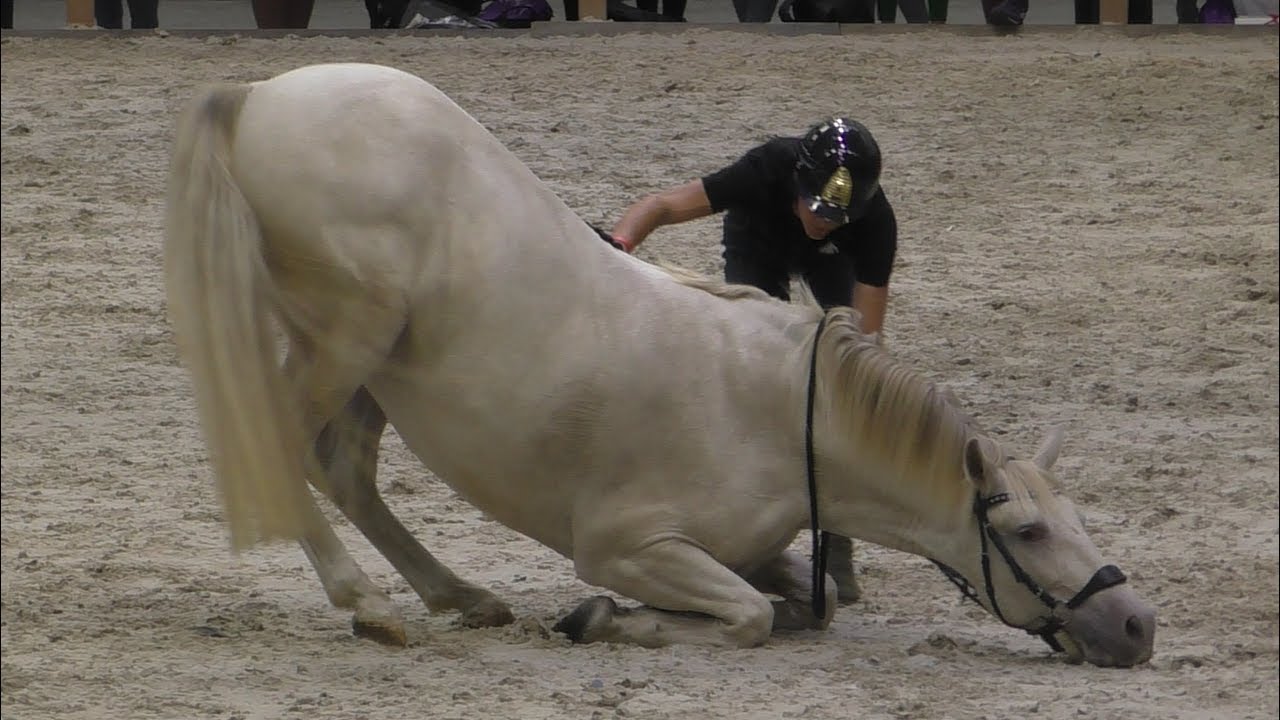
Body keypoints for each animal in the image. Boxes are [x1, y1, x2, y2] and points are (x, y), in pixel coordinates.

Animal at [163, 62, 1155, 667]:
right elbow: (748, 616)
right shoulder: (627, 543)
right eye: (1029, 531)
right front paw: (604, 617)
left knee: (343, 466)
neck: (785, 414)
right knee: (291, 449)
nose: (1137, 622)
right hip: (348, 338)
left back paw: (459, 595)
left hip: (375, 363)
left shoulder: (749, 549)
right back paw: (369, 604)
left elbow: (803, 599)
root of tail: (260, 93)